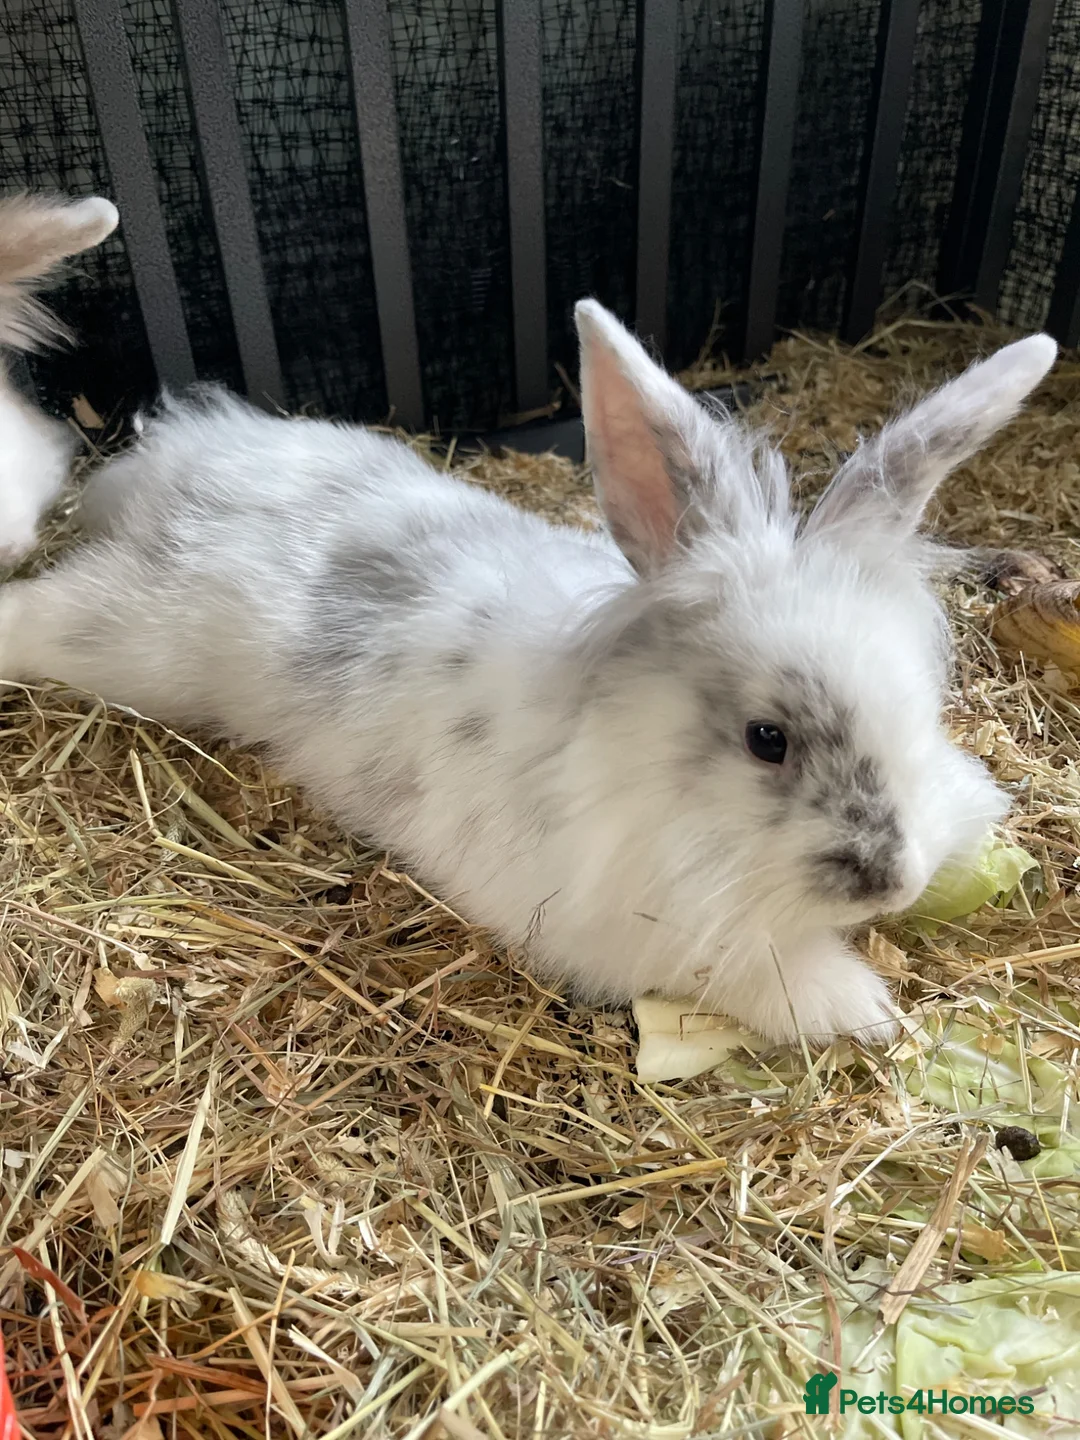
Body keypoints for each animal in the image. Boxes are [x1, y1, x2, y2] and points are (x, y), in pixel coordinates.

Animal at [0, 246, 1056, 1043]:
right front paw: (860, 1006)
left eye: (923, 714)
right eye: (768, 740)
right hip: (128, 638)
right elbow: (760, 969)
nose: (891, 880)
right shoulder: (653, 925)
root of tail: (169, 465)